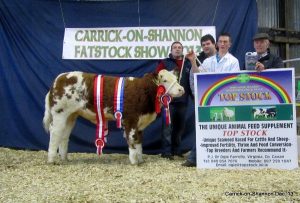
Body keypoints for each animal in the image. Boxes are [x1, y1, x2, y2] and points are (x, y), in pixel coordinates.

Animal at [42, 70, 183, 164]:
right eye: (165, 80)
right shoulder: (130, 119)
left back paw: (64, 158)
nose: (181, 89)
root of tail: (59, 78)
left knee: (64, 135)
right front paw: (134, 161)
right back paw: (51, 159)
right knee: (55, 133)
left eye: (176, 79)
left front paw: (140, 159)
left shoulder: (140, 123)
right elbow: (132, 139)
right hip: (60, 113)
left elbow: (139, 141)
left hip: (71, 115)